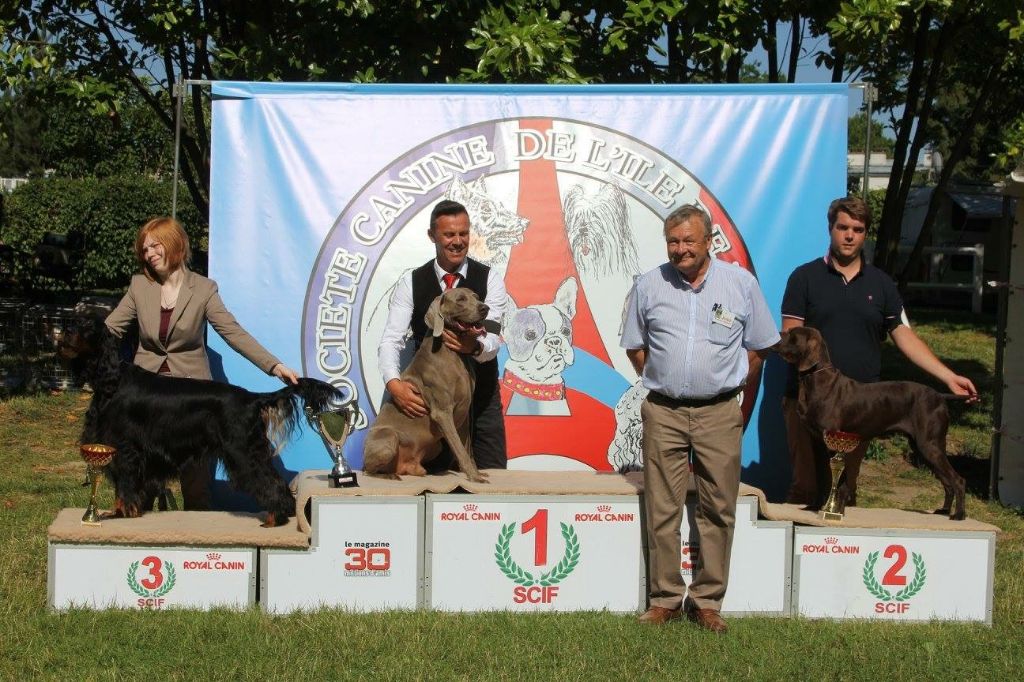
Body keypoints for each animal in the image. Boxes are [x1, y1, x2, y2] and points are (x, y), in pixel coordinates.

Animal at [362, 286, 489, 483]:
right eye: (460, 299)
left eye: (476, 297)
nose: (485, 308)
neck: (452, 353)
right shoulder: (442, 412)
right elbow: (459, 448)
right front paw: (474, 477)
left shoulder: (464, 413)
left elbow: (466, 448)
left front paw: (475, 472)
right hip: (388, 436)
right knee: (368, 470)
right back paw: (389, 475)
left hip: (434, 446)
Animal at [774, 327, 966, 518]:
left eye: (792, 335)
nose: (778, 335)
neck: (815, 380)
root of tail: (940, 396)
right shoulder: (818, 443)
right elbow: (822, 479)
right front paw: (818, 506)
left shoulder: (833, 444)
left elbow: (839, 481)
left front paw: (835, 510)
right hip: (923, 448)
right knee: (947, 482)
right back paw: (944, 510)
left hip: (929, 445)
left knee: (958, 480)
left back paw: (959, 514)